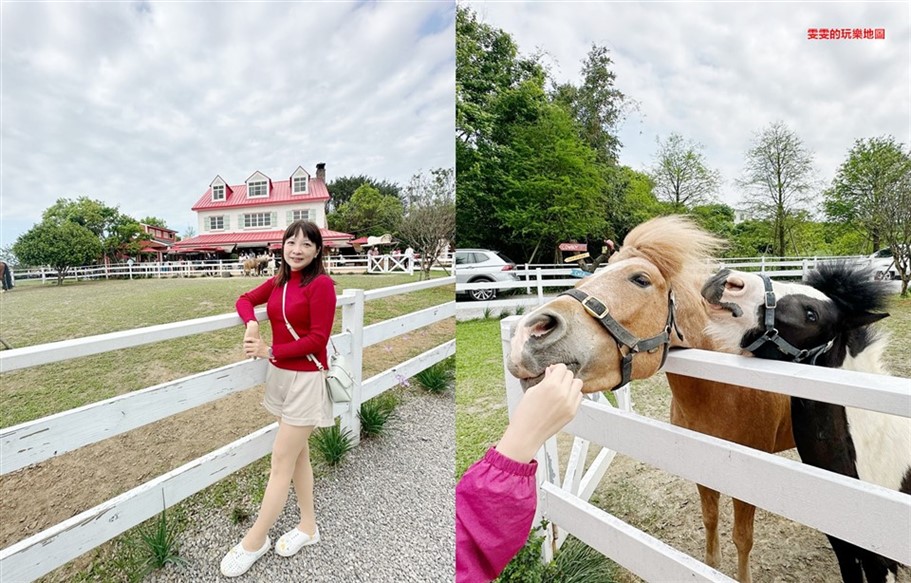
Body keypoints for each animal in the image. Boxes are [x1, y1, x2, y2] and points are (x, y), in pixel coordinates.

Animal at [510, 218, 796, 583]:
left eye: (641, 279)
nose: (530, 333)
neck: (726, 393)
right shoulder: (704, 470)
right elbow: (710, 521)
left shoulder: (747, 484)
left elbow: (743, 539)